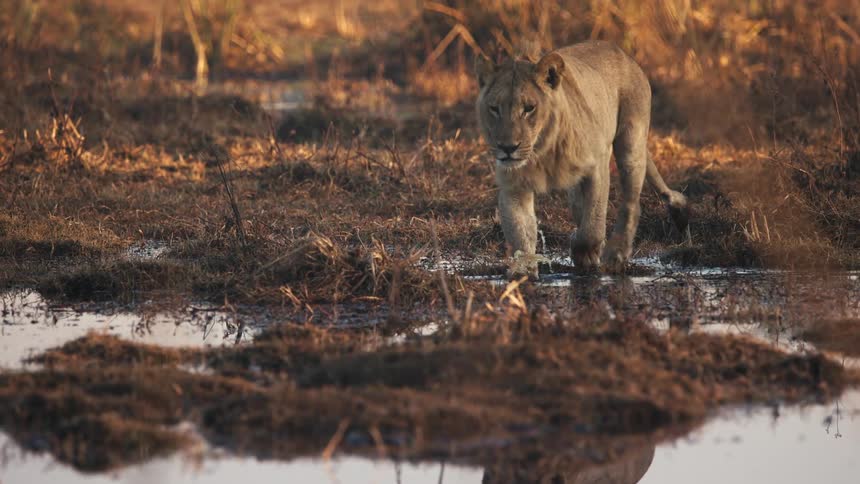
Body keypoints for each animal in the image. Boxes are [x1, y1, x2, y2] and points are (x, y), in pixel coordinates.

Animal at [475, 41, 689, 279]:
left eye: (529, 108)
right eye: (494, 108)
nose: (507, 148)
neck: (542, 150)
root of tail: (623, 53)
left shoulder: (597, 167)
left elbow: (593, 226)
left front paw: (583, 252)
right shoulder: (514, 186)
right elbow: (520, 232)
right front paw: (523, 274)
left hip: (632, 143)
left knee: (631, 204)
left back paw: (616, 255)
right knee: (581, 207)